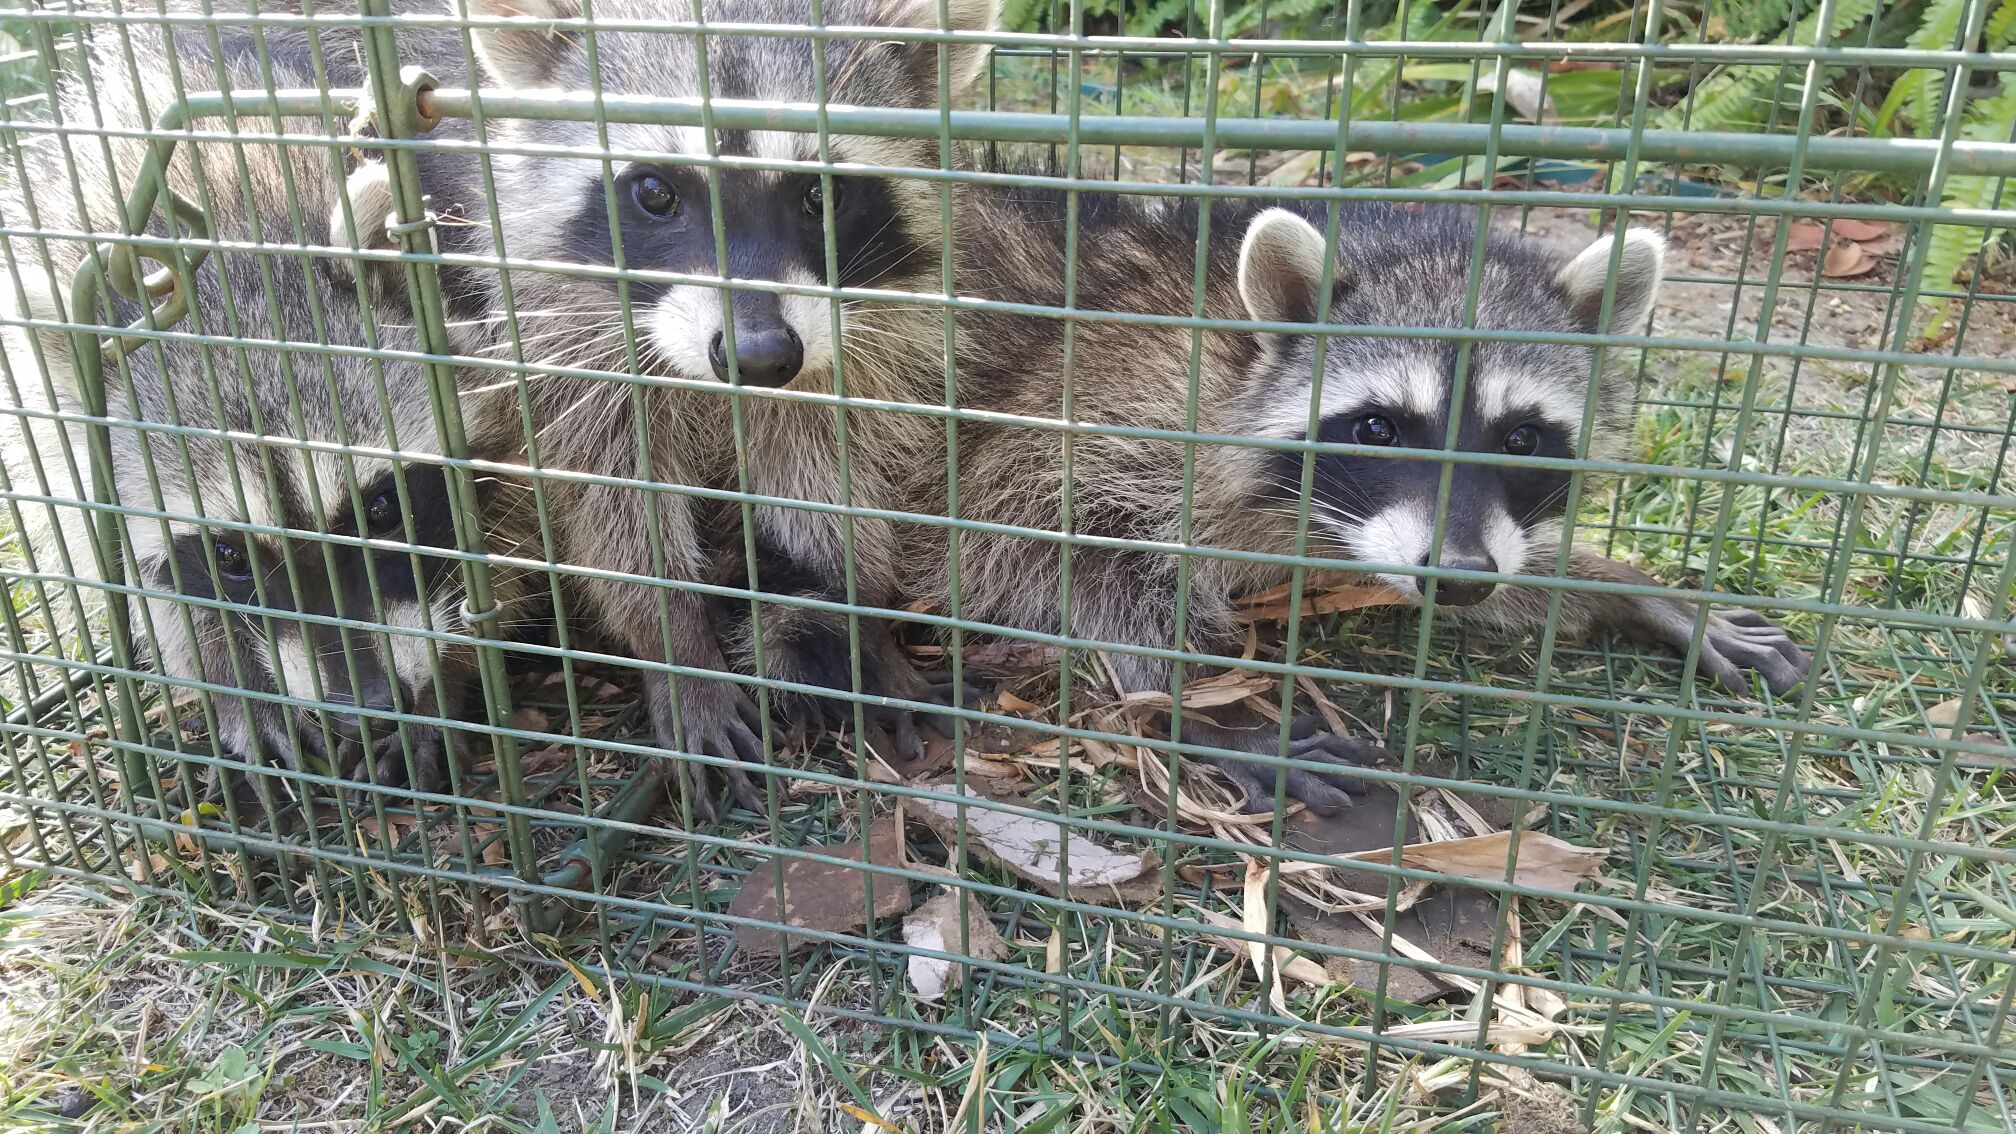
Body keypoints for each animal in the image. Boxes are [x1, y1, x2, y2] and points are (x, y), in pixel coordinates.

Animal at [0, 22, 539, 794]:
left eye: (381, 509)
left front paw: (446, 683)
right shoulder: (61, 445)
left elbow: (505, 535)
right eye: (228, 554)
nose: (372, 703)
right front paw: (234, 688)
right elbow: (139, 581)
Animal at [323, 0, 998, 792]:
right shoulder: (559, 348)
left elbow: (821, 479)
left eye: (821, 194)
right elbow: (614, 510)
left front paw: (860, 621)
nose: (760, 357)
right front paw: (675, 644)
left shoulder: (843, 355)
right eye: (655, 193)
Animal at [903, 191, 1810, 814]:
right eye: (1379, 427)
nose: (1460, 577)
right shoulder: (1081, 418)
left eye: (1521, 438)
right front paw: (1193, 709)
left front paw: (1634, 590)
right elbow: (1055, 550)